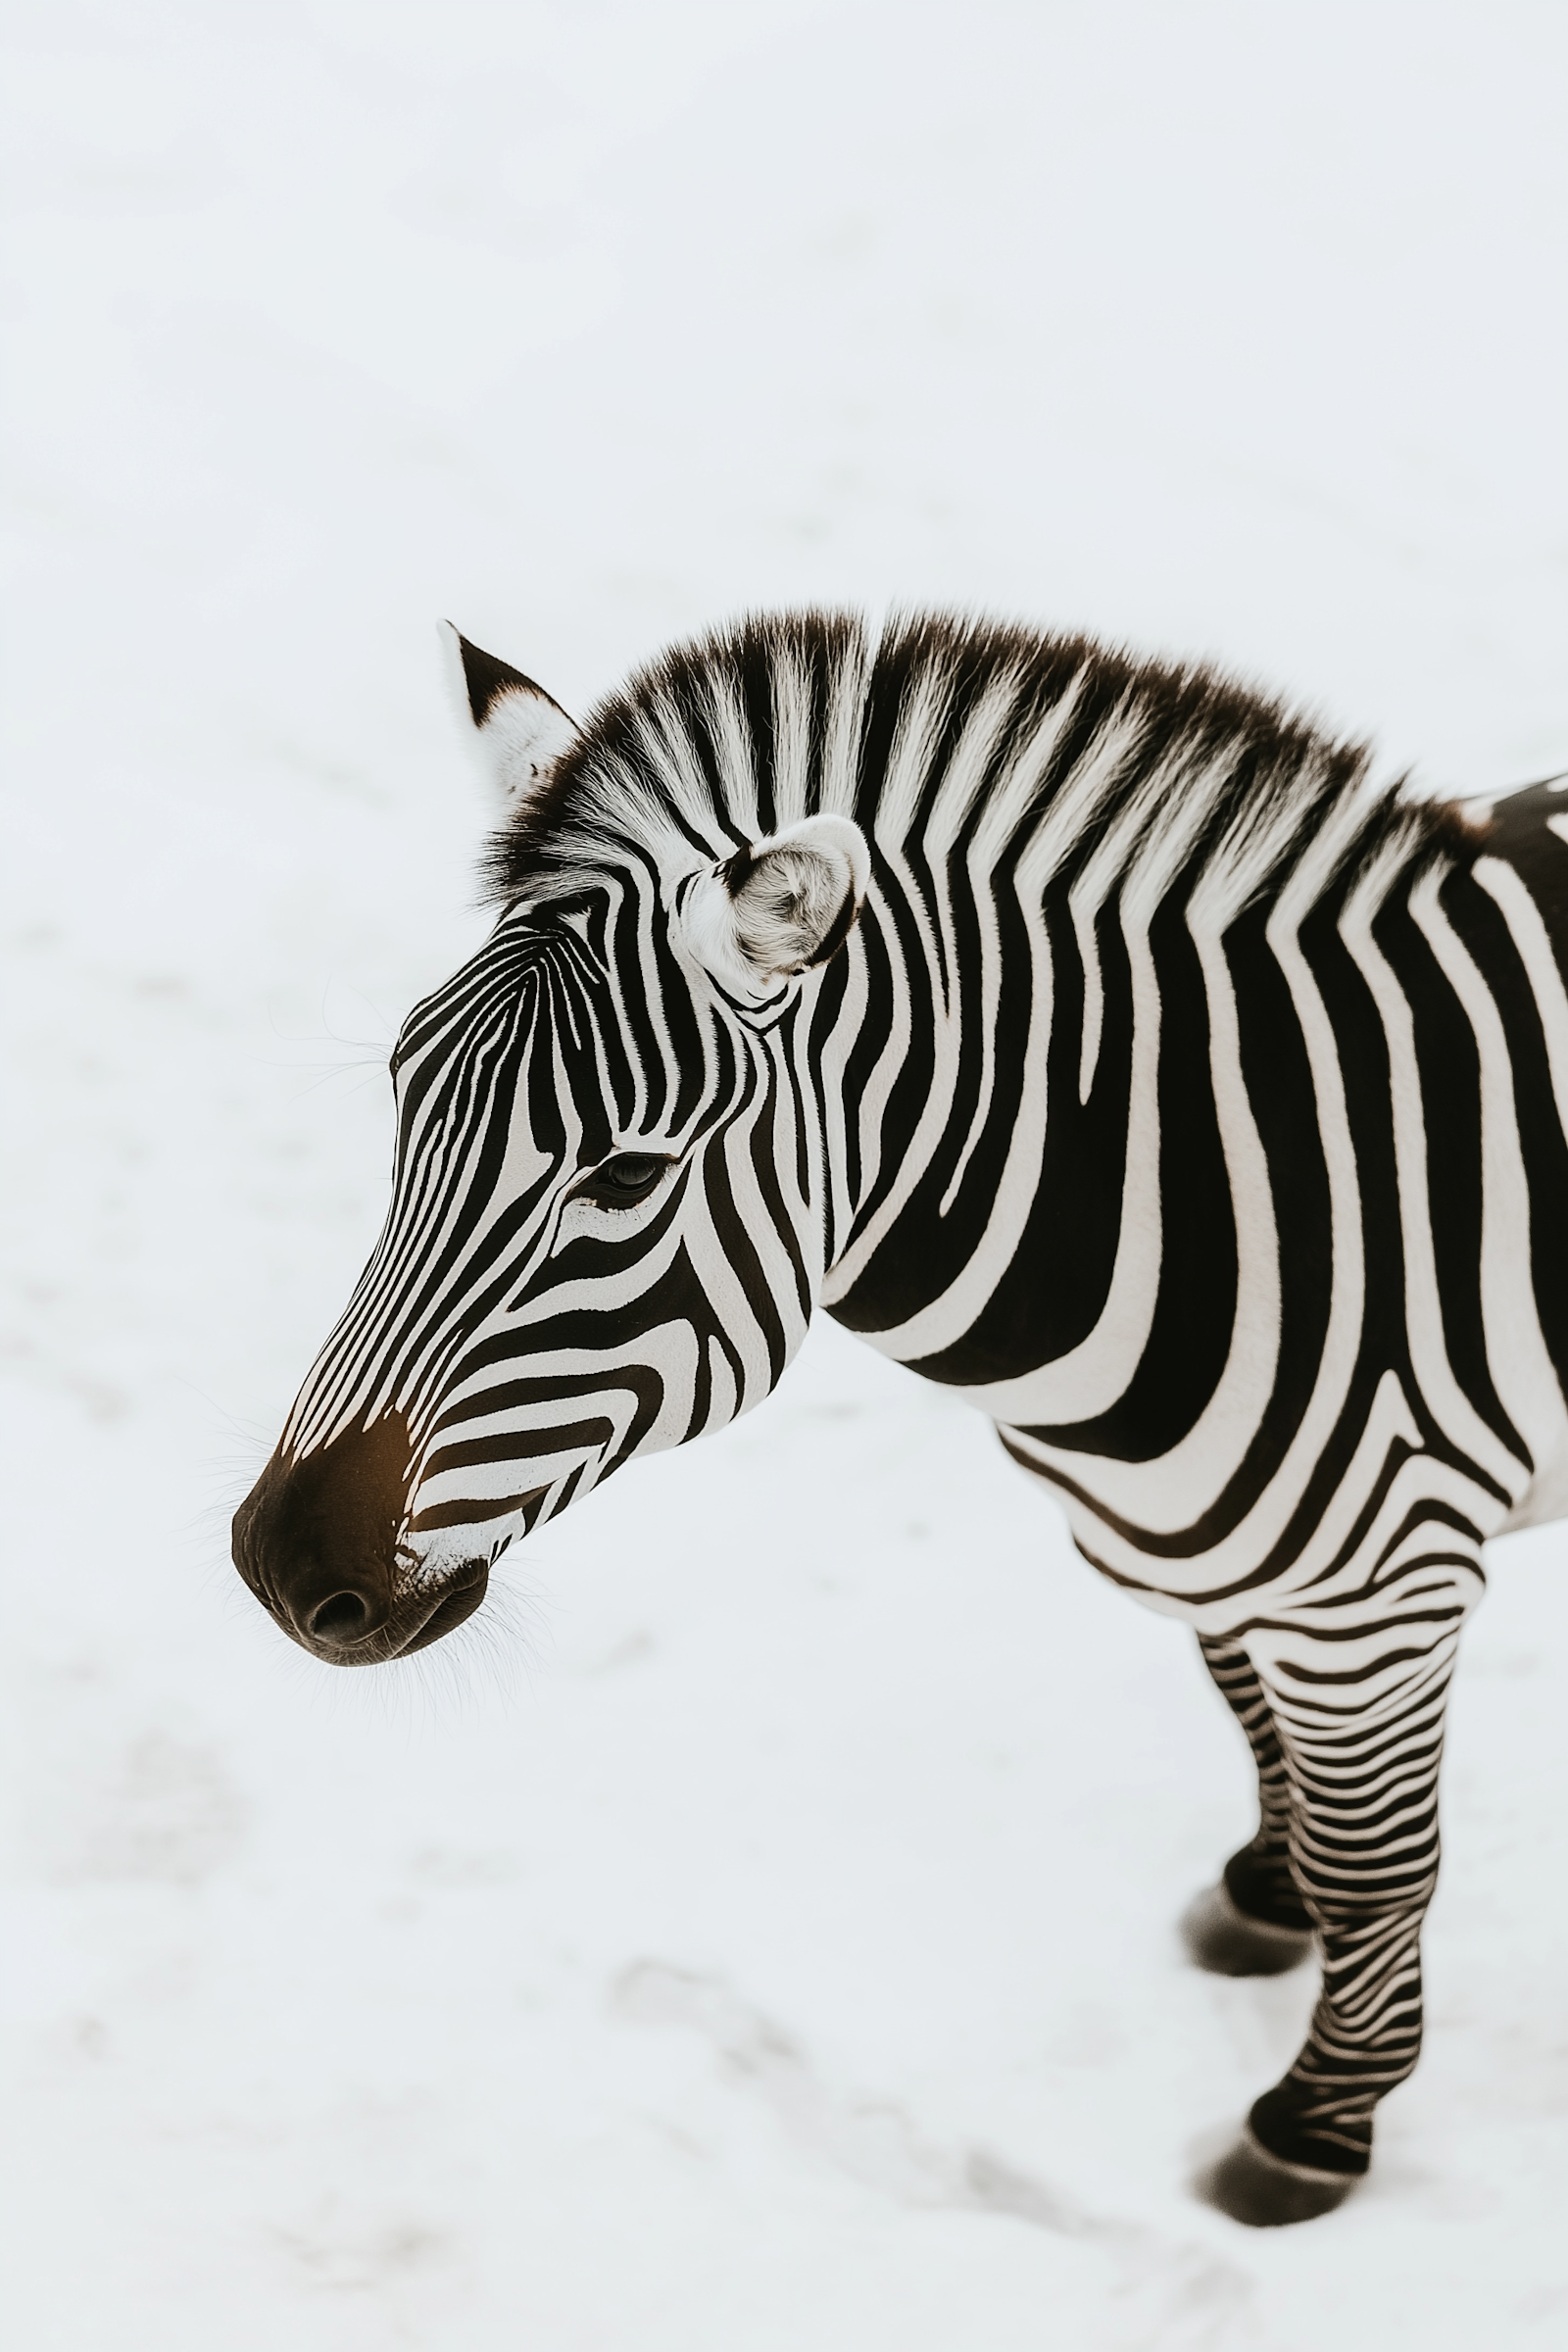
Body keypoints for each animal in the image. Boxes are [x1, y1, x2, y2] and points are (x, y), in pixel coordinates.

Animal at [233, 610, 1568, 2227]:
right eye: (401, 1095)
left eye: (626, 1175)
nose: (279, 1570)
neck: (1211, 1196)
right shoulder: (1214, 1558)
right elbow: (1266, 1744)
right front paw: (1269, 1896)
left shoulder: (1384, 1587)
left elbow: (1381, 1861)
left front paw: (1319, 2124)